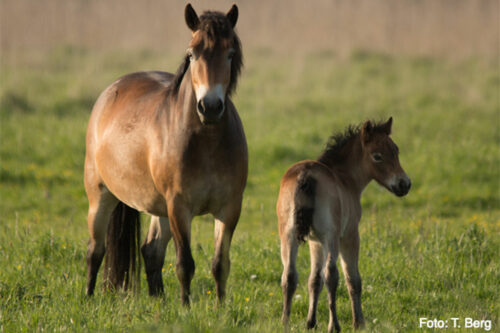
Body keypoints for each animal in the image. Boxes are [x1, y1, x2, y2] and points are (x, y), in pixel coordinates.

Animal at [84, 3, 246, 304]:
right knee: (95, 250)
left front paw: (221, 308)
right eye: (192, 54)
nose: (210, 107)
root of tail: (111, 90)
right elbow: (185, 264)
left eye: (230, 54)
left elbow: (220, 264)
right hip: (101, 195)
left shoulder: (229, 207)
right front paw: (185, 307)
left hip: (159, 207)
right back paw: (88, 298)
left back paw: (157, 299)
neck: (207, 143)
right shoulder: (179, 206)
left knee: (151, 251)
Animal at [278, 117, 410, 330]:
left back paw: (285, 323)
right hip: (332, 237)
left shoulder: (315, 241)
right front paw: (359, 322)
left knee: (289, 275)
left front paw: (311, 322)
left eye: (396, 151)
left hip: (288, 236)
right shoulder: (349, 235)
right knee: (332, 275)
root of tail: (306, 175)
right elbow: (352, 279)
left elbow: (314, 280)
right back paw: (335, 326)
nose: (404, 184)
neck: (345, 177)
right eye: (377, 156)